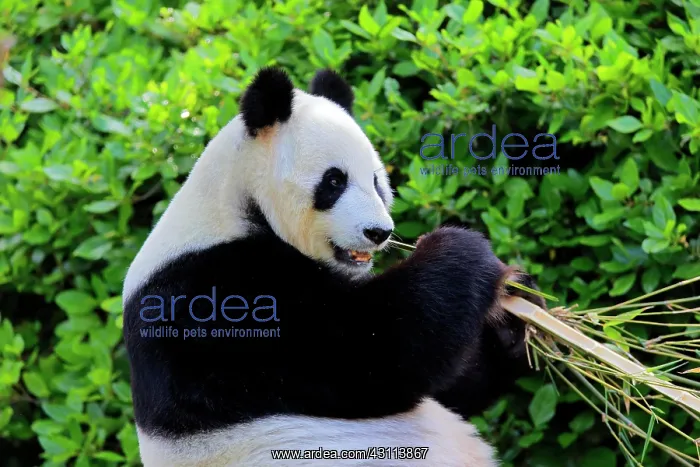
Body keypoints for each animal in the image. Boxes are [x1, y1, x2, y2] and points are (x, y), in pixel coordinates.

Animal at [122, 67, 545, 467]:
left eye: (376, 182)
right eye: (334, 181)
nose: (378, 232)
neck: (232, 206)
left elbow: (452, 388)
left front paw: (519, 316)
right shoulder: (213, 299)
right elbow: (367, 353)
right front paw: (463, 250)